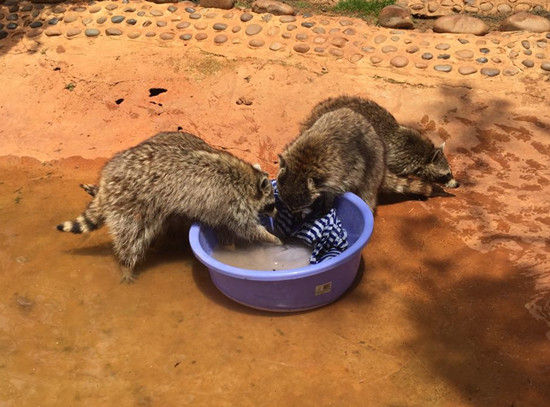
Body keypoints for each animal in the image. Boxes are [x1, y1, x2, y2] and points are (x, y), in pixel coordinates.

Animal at [58, 132, 280, 282]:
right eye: (272, 204)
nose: (277, 213)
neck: (246, 178)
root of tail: (107, 179)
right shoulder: (232, 204)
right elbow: (246, 228)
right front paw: (271, 237)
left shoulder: (220, 209)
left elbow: (224, 229)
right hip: (131, 203)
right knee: (132, 236)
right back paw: (126, 263)